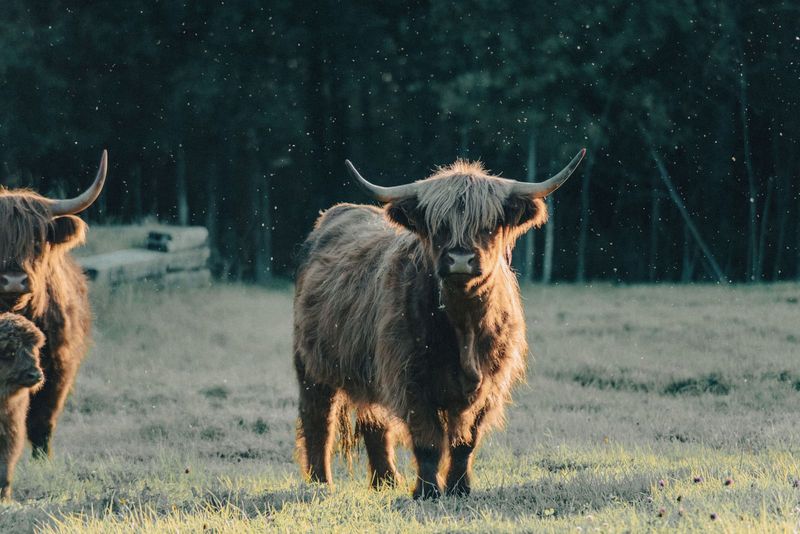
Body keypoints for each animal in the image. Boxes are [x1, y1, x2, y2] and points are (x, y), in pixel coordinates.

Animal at [293, 149, 585, 499]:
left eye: (488, 225)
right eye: (440, 225)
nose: (460, 259)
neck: (464, 326)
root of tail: (337, 213)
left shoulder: (490, 384)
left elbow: (465, 442)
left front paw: (459, 488)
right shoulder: (410, 379)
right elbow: (428, 441)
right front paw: (427, 492)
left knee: (375, 422)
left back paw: (386, 481)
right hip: (311, 364)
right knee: (318, 419)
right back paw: (320, 482)